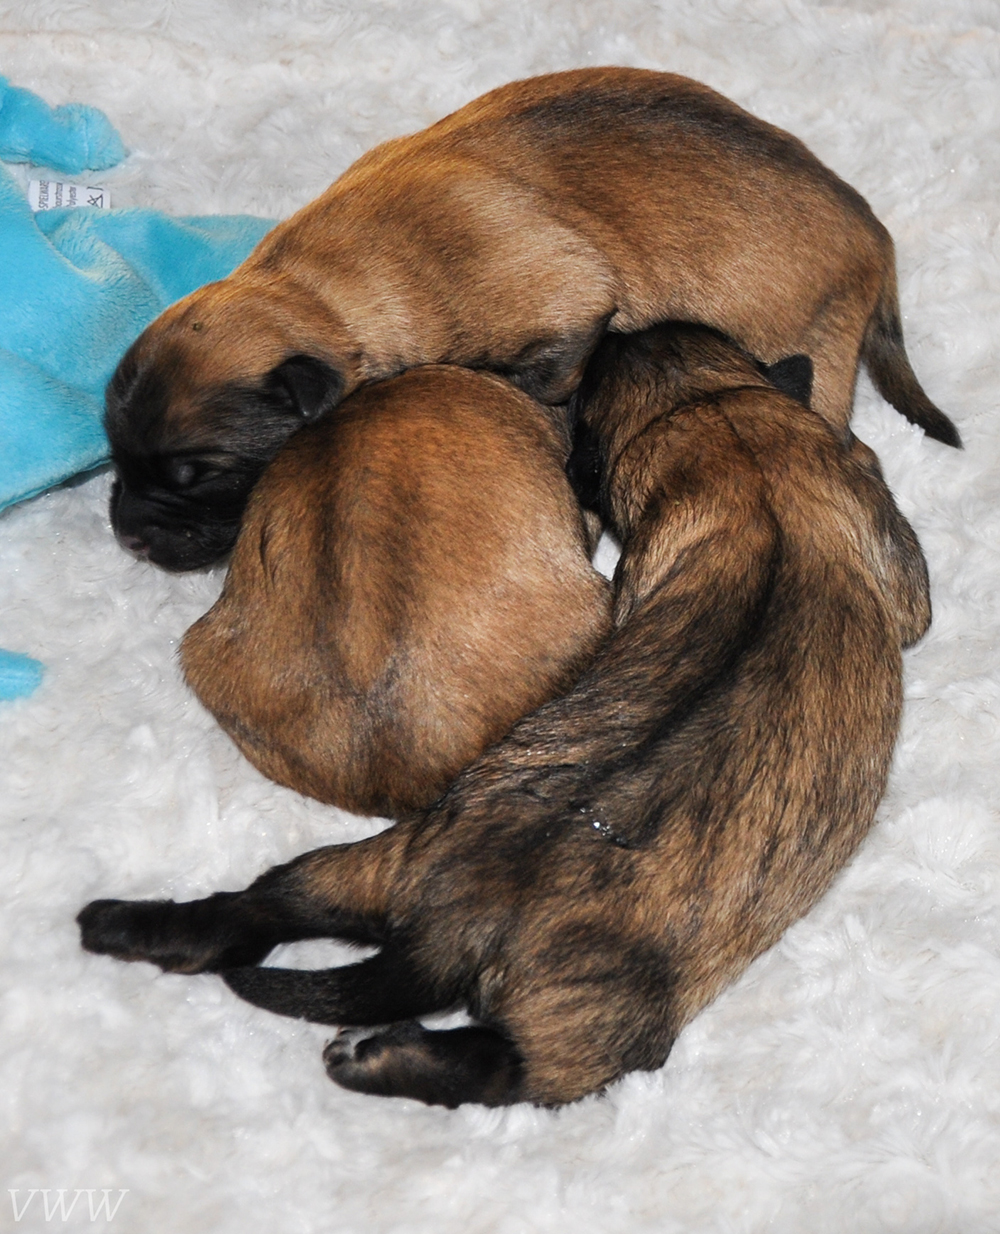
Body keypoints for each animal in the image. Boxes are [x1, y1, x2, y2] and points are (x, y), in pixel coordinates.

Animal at [105, 67, 959, 571]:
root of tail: (874, 234)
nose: (127, 535)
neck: (314, 292)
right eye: (116, 457)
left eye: (200, 475)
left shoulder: (564, 294)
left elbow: (546, 369)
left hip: (799, 346)